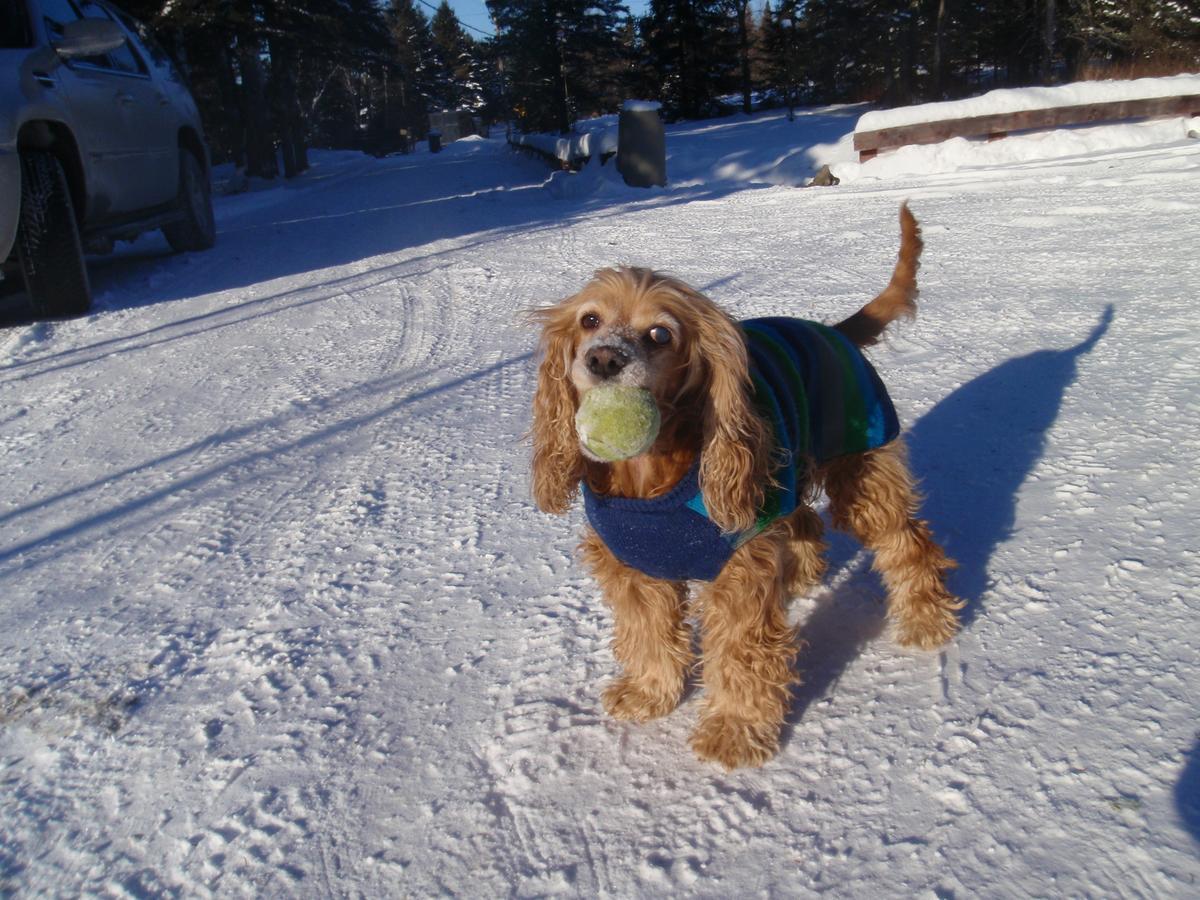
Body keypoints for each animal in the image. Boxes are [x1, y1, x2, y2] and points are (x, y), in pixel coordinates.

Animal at [530, 206, 960, 777]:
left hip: (860, 469)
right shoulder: (633, 565)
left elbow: (740, 656)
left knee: (908, 542)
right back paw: (799, 577)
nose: (603, 359)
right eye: (590, 321)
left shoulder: (736, 568)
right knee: (804, 521)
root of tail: (835, 332)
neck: (651, 475)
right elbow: (648, 635)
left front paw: (733, 733)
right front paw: (648, 694)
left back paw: (927, 619)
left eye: (660, 334)